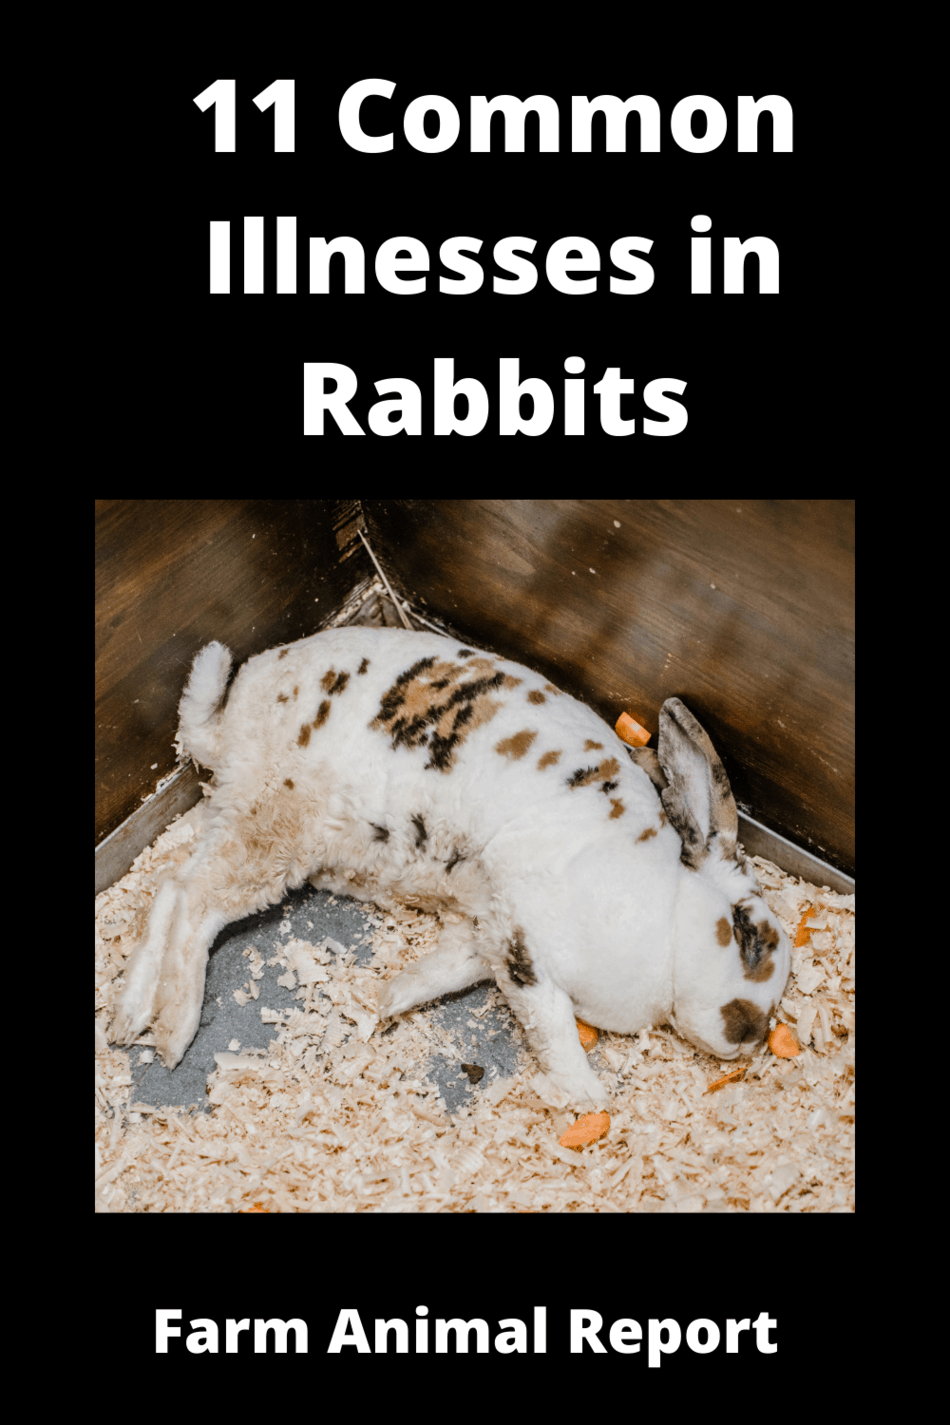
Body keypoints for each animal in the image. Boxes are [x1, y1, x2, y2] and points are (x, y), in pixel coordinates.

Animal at [110, 626, 791, 1112]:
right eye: (747, 935)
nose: (748, 1032)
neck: (666, 915)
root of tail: (230, 725)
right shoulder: (521, 944)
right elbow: (551, 1026)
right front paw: (589, 1098)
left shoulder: (482, 933)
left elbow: (439, 973)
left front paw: (384, 1001)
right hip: (277, 831)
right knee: (195, 905)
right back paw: (173, 1032)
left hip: (246, 822)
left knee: (171, 886)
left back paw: (127, 1019)